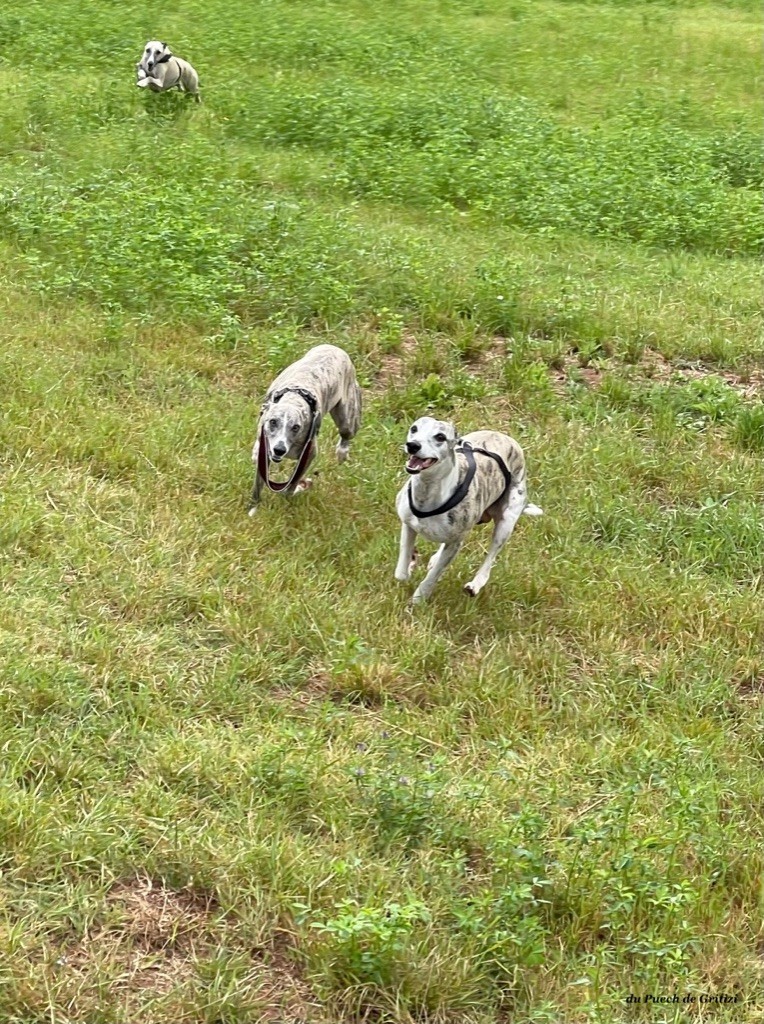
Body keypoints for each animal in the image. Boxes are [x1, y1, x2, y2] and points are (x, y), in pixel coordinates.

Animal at [246, 344, 360, 516]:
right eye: (273, 421)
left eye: (296, 427)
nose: (279, 450)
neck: (294, 398)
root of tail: (334, 347)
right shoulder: (264, 452)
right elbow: (258, 482)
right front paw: (253, 508)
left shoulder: (309, 454)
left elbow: (292, 483)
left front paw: (287, 499)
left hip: (346, 417)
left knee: (347, 433)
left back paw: (342, 452)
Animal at [393, 415, 540, 602]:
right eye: (414, 429)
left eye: (440, 437)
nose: (413, 445)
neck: (427, 492)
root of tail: (505, 437)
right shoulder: (408, 524)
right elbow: (401, 573)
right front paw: (411, 563)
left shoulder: (455, 544)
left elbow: (432, 577)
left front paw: (418, 599)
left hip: (506, 522)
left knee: (490, 558)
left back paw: (475, 584)